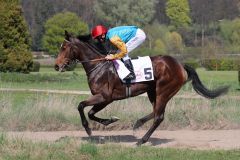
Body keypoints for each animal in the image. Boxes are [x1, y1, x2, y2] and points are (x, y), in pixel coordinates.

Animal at [54, 30, 229, 146]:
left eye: (64, 48)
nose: (56, 66)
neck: (99, 66)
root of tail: (180, 65)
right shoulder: (104, 99)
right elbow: (90, 112)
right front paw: (109, 121)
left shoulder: (105, 97)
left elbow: (81, 106)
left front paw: (89, 130)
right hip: (153, 91)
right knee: (156, 112)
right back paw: (138, 123)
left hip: (164, 91)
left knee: (159, 116)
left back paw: (142, 140)